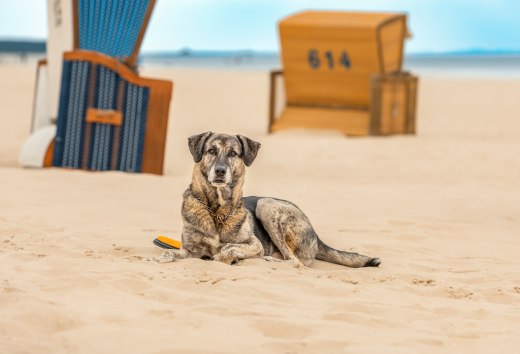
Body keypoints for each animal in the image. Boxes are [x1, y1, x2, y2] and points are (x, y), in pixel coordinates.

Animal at [156, 132, 380, 268]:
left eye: (233, 153)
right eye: (211, 151)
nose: (220, 171)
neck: (216, 210)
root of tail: (316, 235)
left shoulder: (254, 243)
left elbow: (230, 248)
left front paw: (228, 255)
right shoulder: (188, 250)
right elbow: (170, 255)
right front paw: (160, 257)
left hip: (267, 205)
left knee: (294, 261)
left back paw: (268, 259)